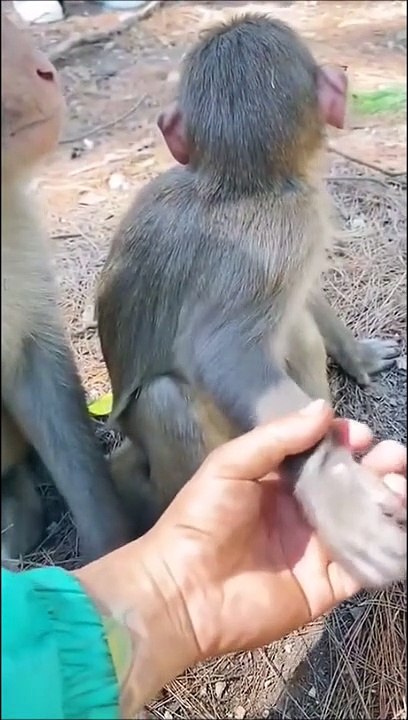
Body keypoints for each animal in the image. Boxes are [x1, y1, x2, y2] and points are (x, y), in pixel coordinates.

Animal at [97, 14, 406, 588]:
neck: (239, 186)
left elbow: (306, 295)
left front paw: (356, 355)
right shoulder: (289, 228)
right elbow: (225, 356)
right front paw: (333, 488)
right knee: (169, 398)